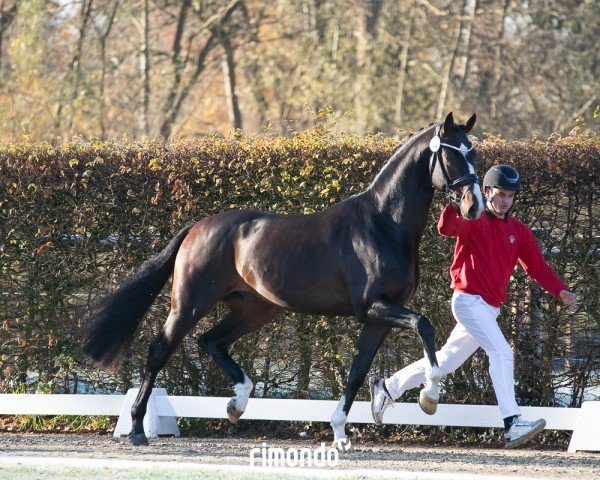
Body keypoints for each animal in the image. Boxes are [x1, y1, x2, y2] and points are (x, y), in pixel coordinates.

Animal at [82, 111, 482, 446]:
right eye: (452, 156)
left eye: (473, 154)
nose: (474, 205)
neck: (383, 224)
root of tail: (197, 226)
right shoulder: (375, 307)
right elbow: (425, 325)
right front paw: (430, 396)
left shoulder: (376, 319)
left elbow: (357, 371)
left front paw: (340, 433)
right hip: (189, 304)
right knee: (160, 350)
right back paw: (137, 429)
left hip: (254, 310)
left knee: (210, 341)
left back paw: (237, 403)